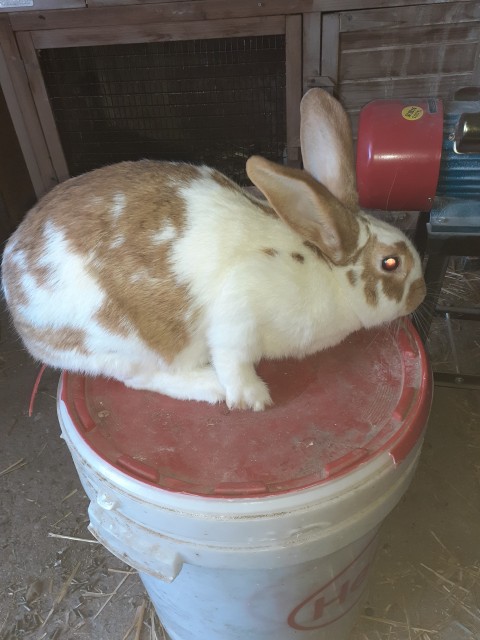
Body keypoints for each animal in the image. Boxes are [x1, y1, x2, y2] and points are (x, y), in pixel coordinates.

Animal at [1, 89, 426, 411]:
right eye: (391, 263)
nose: (421, 295)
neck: (324, 271)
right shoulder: (241, 306)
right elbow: (233, 356)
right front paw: (251, 398)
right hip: (126, 343)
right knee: (143, 378)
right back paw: (209, 386)